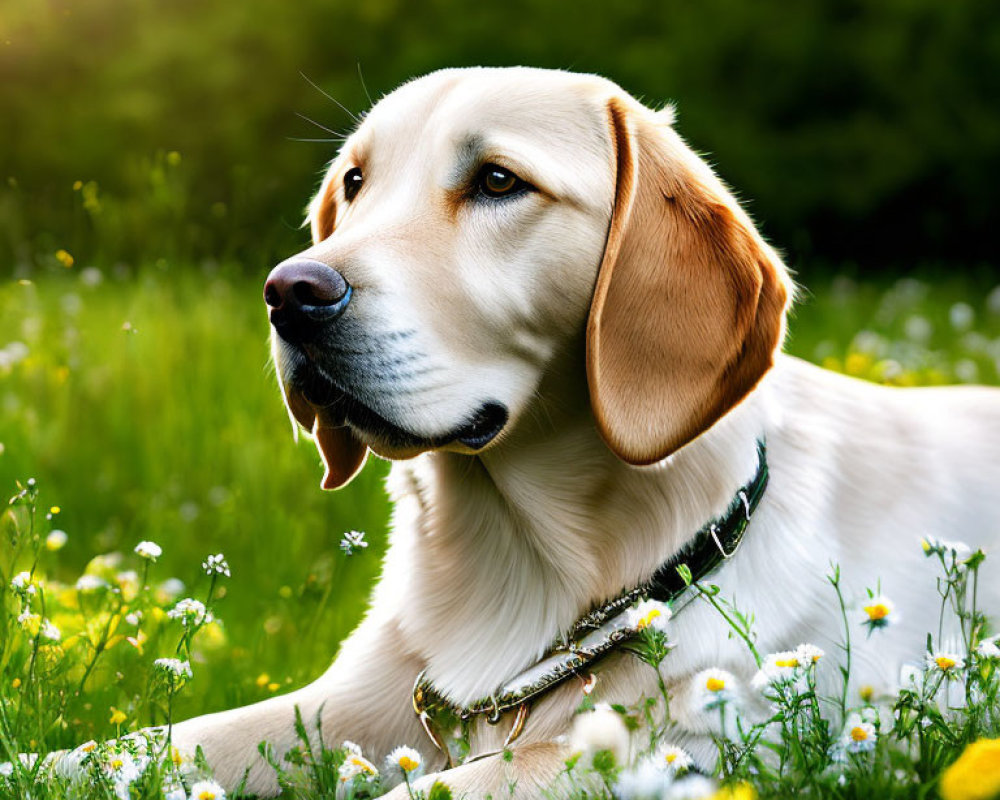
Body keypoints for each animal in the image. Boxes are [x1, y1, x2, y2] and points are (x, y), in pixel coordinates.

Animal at [168, 65, 996, 796]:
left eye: (498, 181)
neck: (514, 556)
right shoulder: (345, 703)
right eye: (354, 182)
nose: (289, 292)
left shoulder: (678, 746)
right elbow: (159, 742)